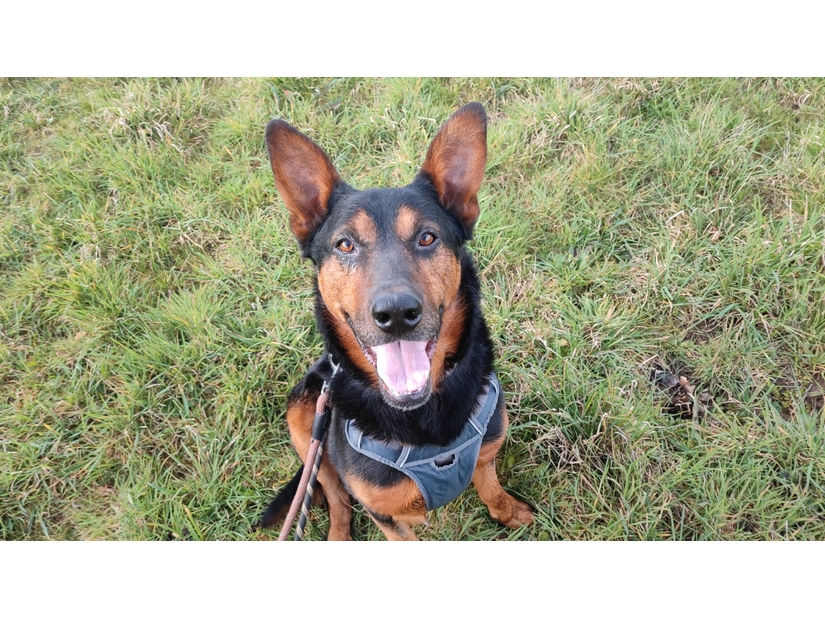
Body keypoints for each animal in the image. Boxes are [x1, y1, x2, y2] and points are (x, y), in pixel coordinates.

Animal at [261, 103, 533, 540]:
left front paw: (507, 511)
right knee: (334, 494)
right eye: (345, 245)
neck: (421, 419)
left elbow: (490, 485)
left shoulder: (486, 450)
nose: (396, 314)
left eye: (427, 237)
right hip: (305, 416)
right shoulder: (385, 515)